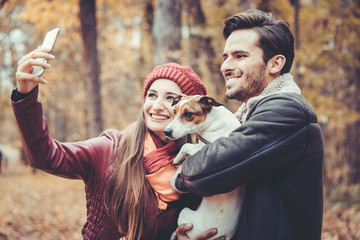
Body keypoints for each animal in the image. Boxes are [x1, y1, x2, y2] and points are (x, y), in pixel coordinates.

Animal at [164, 95, 245, 240]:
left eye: (188, 114)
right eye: (174, 111)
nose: (166, 132)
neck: (213, 121)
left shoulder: (203, 149)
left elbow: (185, 147)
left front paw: (177, 161)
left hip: (184, 214)